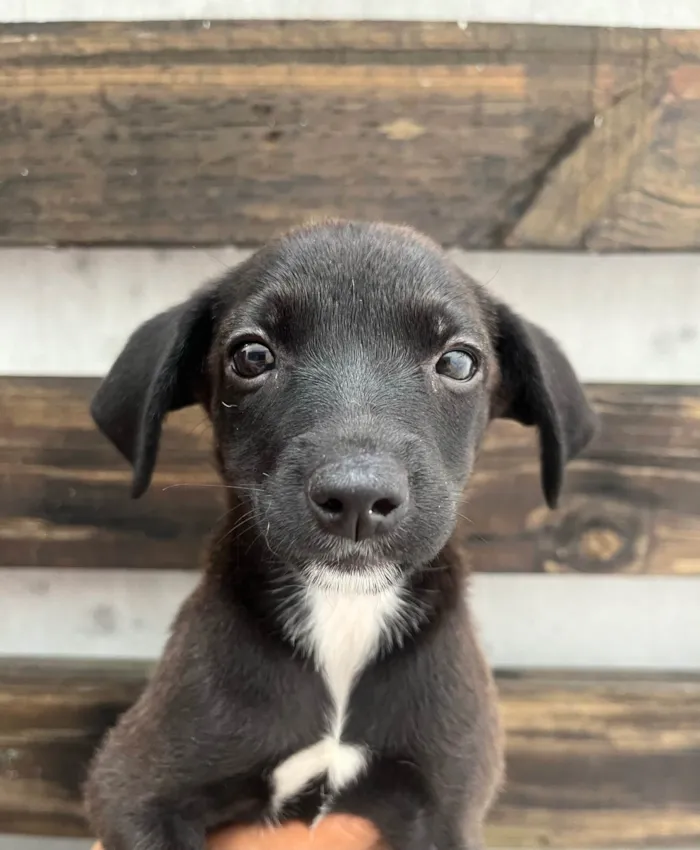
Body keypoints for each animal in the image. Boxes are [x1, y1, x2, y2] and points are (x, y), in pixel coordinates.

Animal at [82, 220, 596, 848]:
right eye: (251, 355)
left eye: (458, 362)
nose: (356, 498)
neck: (344, 609)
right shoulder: (133, 790)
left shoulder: (446, 810)